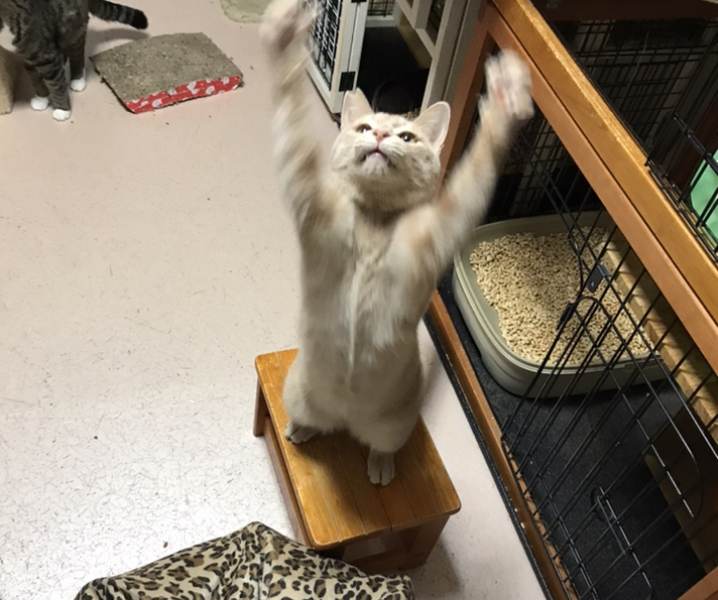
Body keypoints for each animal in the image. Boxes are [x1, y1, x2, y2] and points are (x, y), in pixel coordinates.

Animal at [0, 0, 147, 121]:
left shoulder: (44, 54)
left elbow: (56, 84)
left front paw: (62, 109)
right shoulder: (28, 58)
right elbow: (36, 80)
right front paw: (42, 98)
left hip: (75, 27)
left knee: (77, 55)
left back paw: (77, 80)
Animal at [260, 0, 533, 485]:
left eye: (407, 137)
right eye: (363, 127)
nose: (381, 136)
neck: (374, 218)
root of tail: (346, 417)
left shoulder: (444, 225)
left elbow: (476, 171)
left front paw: (505, 100)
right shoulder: (308, 195)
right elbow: (291, 114)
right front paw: (284, 33)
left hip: (393, 424)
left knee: (381, 445)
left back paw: (380, 466)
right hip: (298, 391)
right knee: (315, 420)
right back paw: (300, 429)